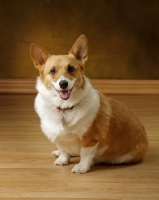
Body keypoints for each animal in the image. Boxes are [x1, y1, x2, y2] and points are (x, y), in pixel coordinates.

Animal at [29, 35, 148, 173]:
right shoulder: (60, 138)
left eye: (71, 68)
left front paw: (82, 167)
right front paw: (62, 159)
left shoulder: (89, 139)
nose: (63, 83)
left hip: (120, 158)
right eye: (53, 71)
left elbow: (85, 154)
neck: (64, 107)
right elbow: (64, 150)